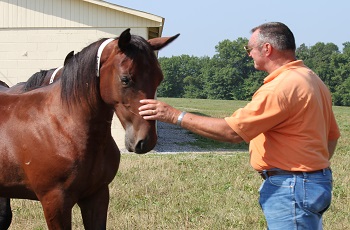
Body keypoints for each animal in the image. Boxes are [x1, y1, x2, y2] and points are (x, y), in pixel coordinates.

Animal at [0, 29, 179, 229]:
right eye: (125, 79)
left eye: (159, 78)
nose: (145, 140)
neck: (62, 125)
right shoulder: (55, 203)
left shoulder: (97, 196)